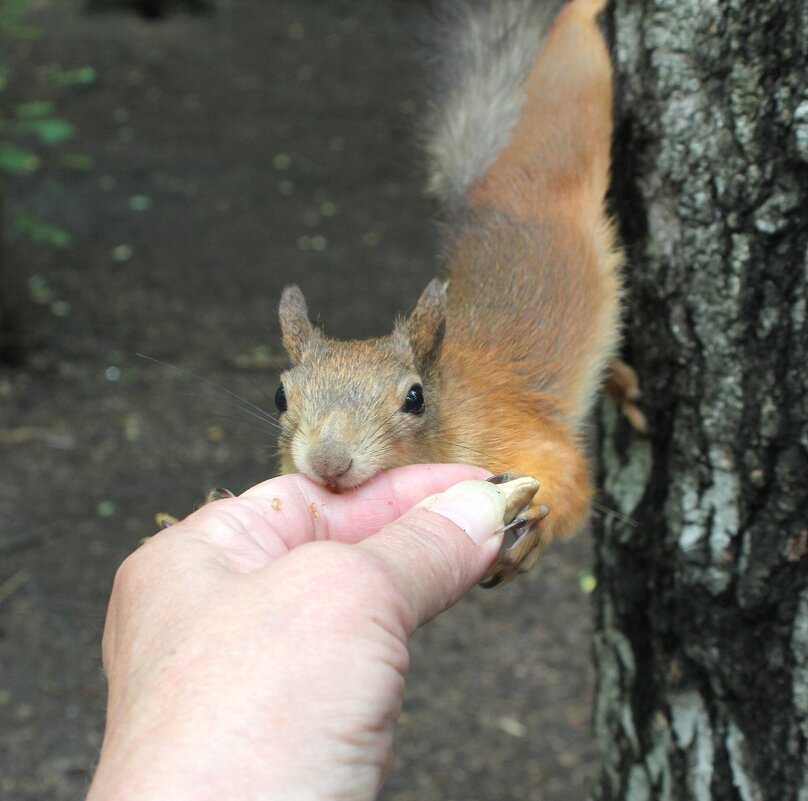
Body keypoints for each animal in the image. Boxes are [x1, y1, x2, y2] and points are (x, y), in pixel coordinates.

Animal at [274, 0, 636, 588]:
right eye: (280, 396)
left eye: (415, 398)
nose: (328, 464)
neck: (454, 414)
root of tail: (496, 188)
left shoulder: (527, 434)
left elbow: (570, 478)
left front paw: (536, 525)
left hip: (574, 97)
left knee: (574, 56)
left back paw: (584, 10)